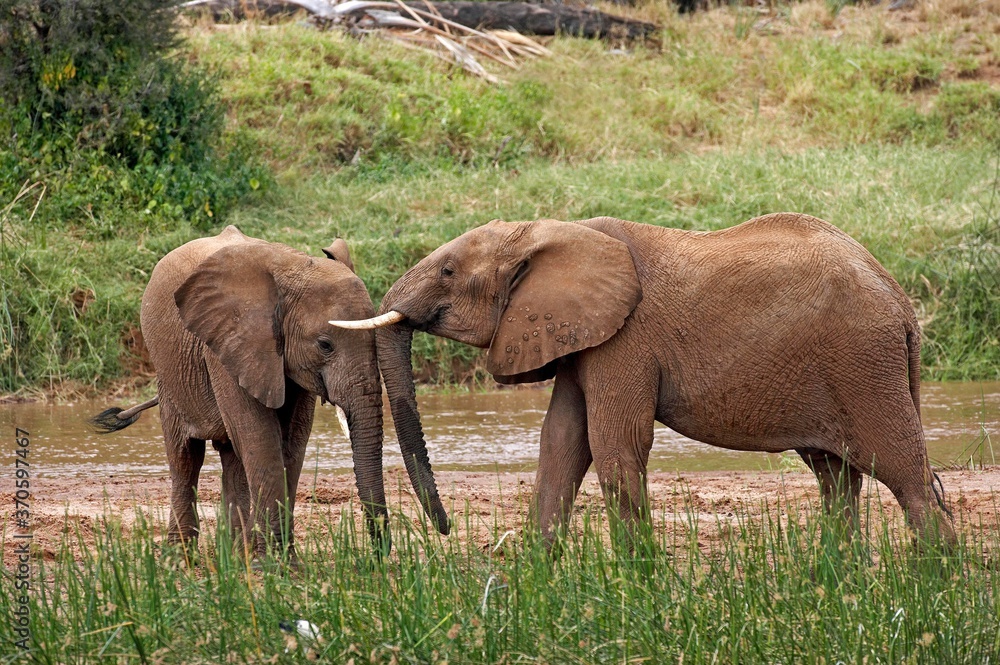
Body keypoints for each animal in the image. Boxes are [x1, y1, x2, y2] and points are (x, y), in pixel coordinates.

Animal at [92, 225, 388, 557]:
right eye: (325, 345)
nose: (377, 556)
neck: (294, 266)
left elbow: (292, 443)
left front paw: (277, 561)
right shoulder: (228, 345)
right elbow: (260, 439)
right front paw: (274, 564)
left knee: (232, 459)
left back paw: (234, 557)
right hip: (168, 374)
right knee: (185, 459)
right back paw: (181, 559)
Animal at [331, 213, 956, 548]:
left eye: (447, 271)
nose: (441, 531)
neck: (548, 231)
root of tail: (900, 299)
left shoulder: (624, 340)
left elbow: (614, 444)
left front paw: (640, 584)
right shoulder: (581, 337)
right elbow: (561, 444)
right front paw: (533, 581)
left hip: (864, 365)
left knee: (901, 472)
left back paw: (934, 584)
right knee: (837, 479)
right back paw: (833, 580)